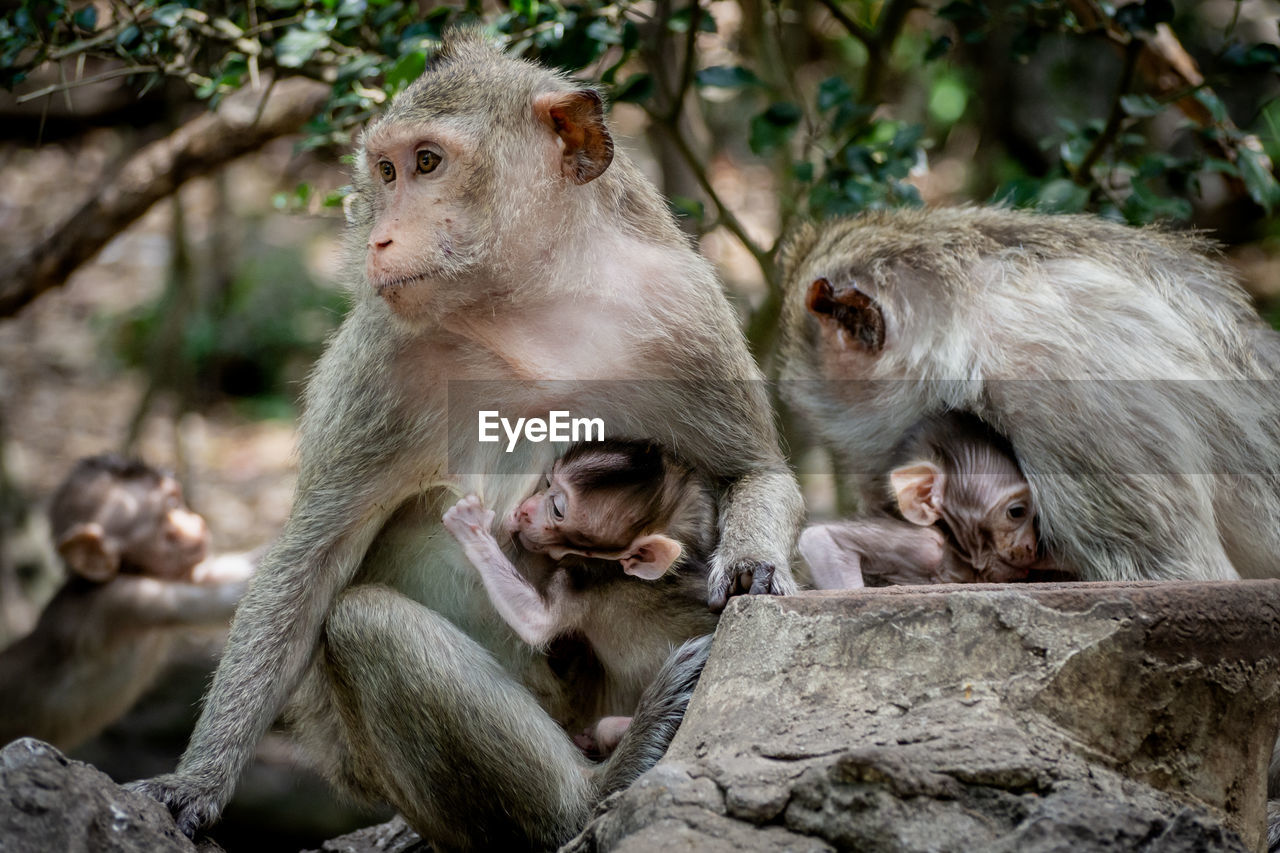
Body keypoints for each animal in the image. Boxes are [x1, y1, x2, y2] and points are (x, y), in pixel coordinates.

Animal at [0, 455, 252, 747]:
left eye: (177, 503)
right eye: (168, 509)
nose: (196, 523)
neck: (127, 570)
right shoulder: (125, 600)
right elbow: (212, 601)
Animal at [442, 440, 721, 753]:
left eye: (557, 509)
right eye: (548, 482)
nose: (526, 510)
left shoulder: (583, 582)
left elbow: (537, 622)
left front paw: (472, 527)